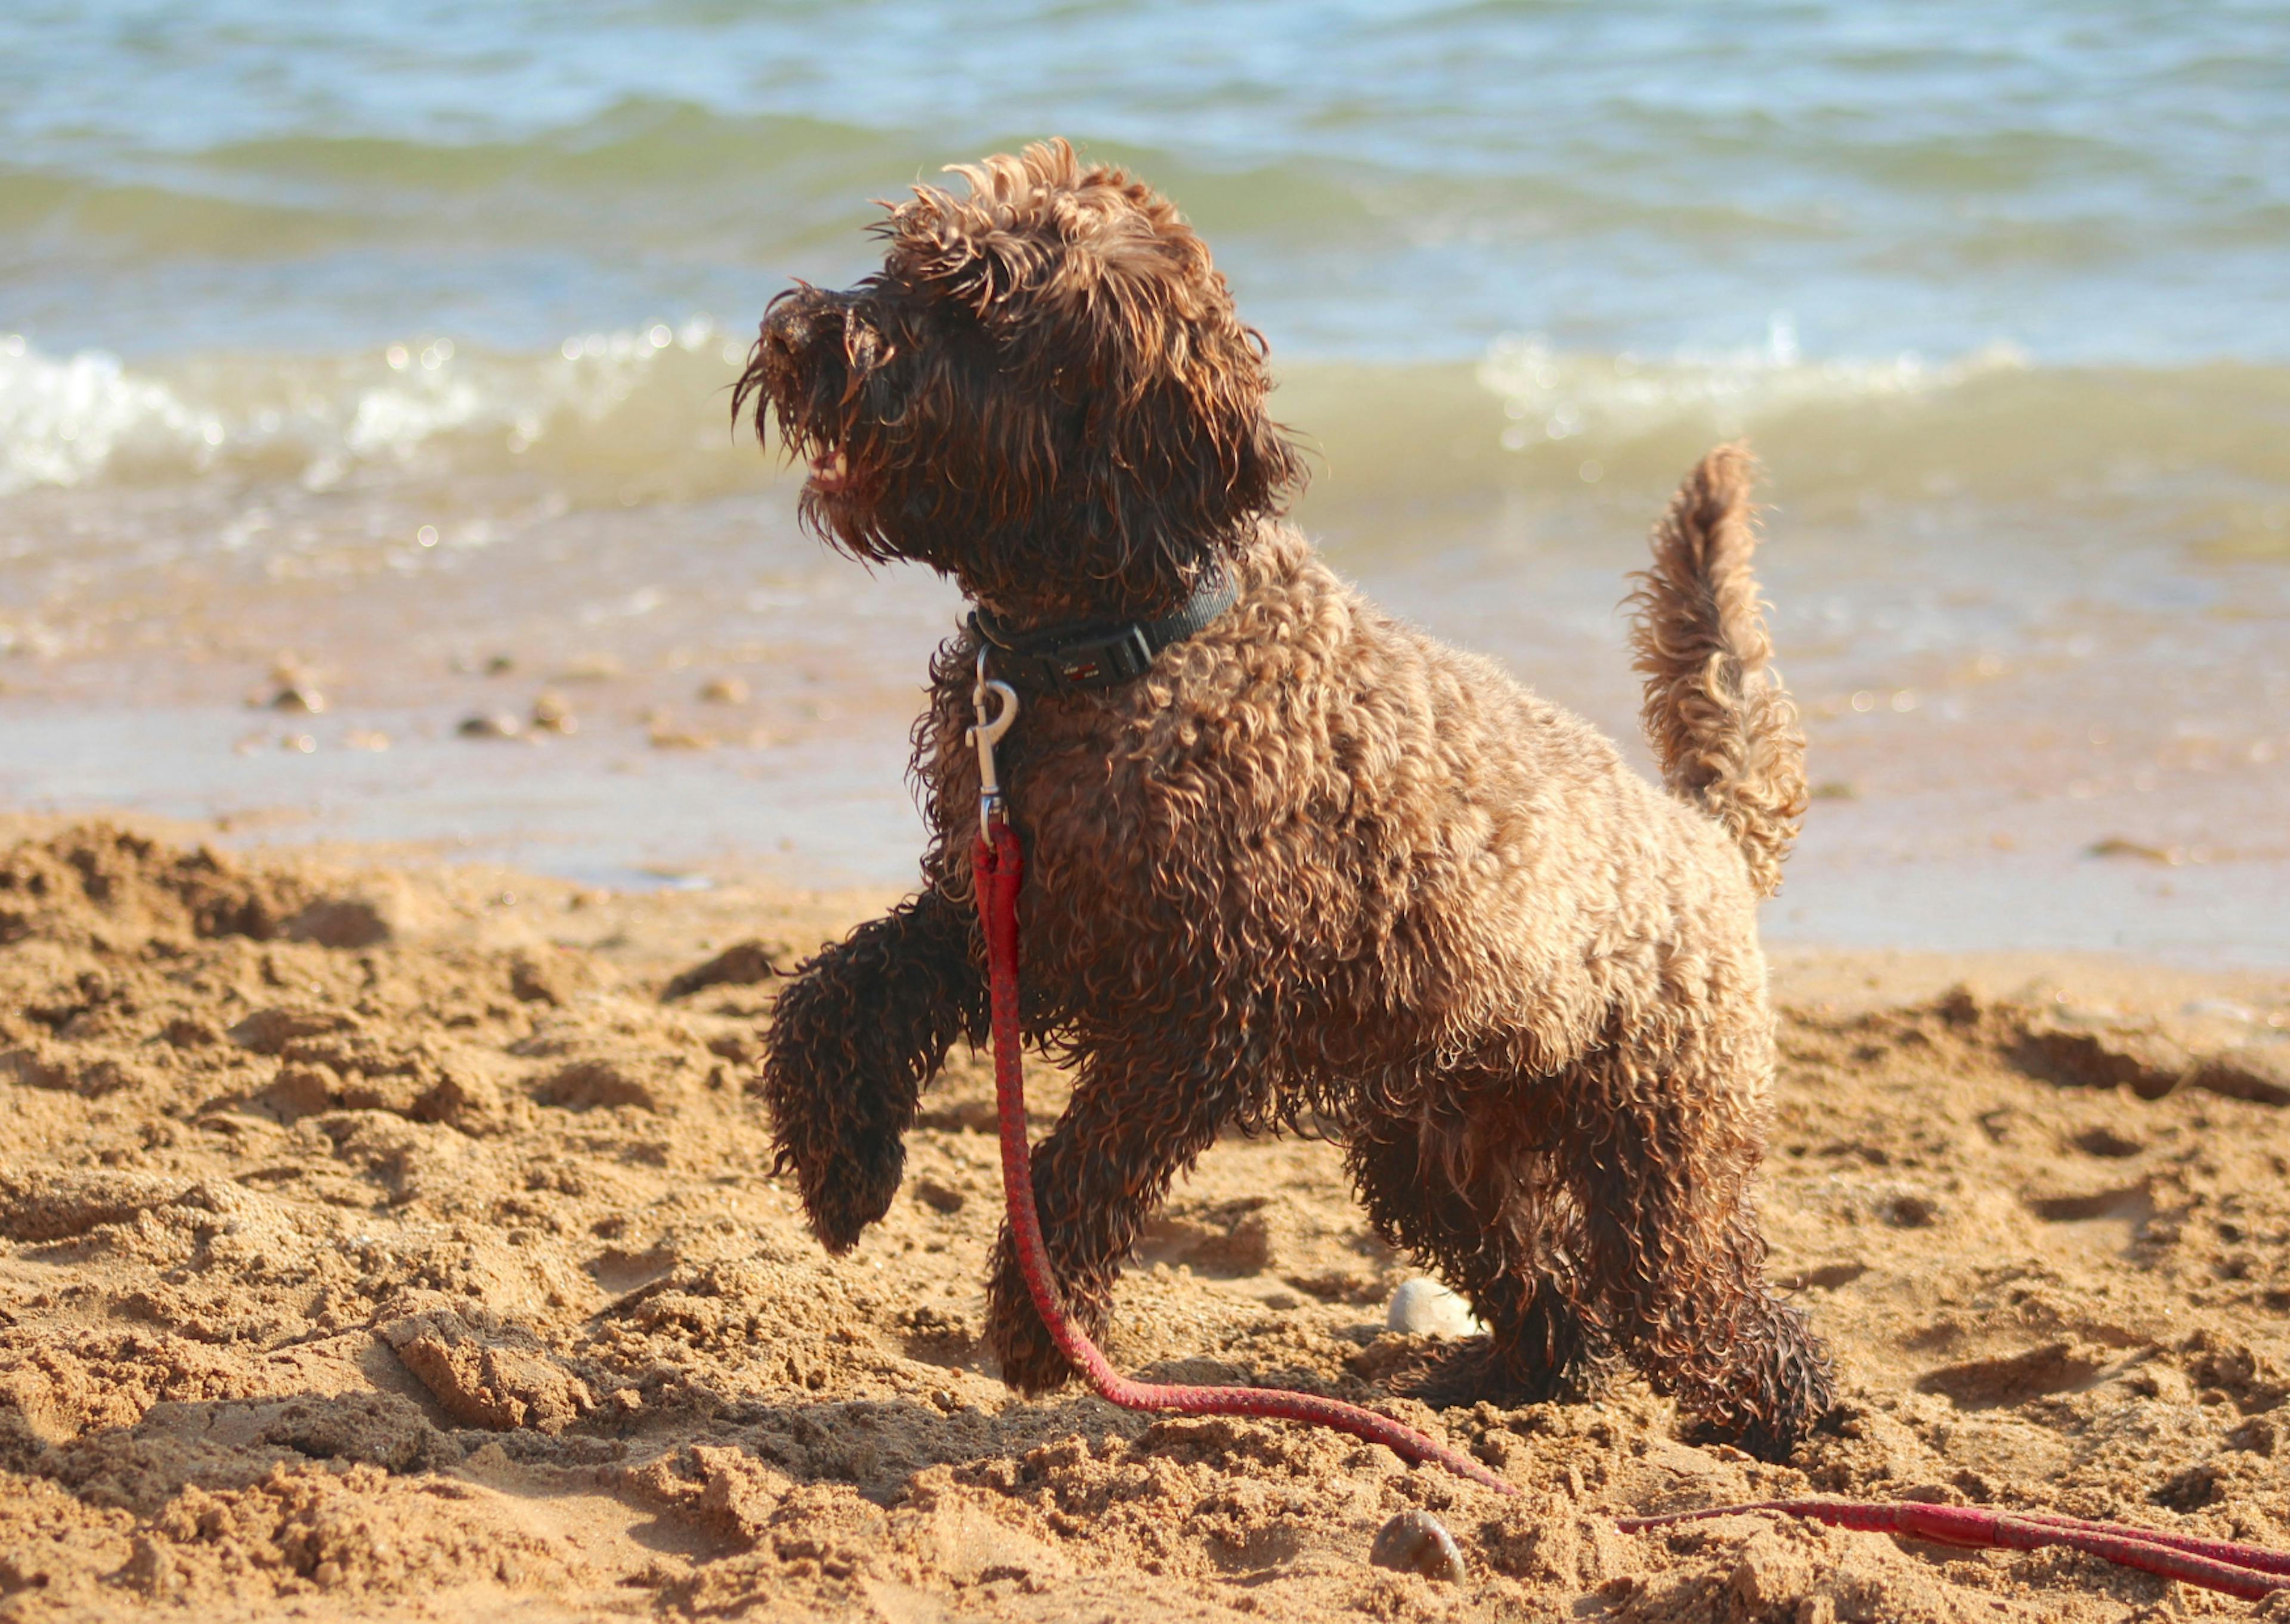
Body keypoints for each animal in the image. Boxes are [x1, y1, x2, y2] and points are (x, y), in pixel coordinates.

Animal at [742, 139, 1832, 1456]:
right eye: (902, 263)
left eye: (973, 302)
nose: (795, 331)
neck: (1114, 646)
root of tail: (1706, 835)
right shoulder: (1004, 911)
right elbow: (838, 990)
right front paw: (841, 1163)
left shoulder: (1204, 1007)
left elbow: (1083, 1165)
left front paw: (1037, 1324)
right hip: (1439, 1141)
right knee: (1544, 1279)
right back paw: (1507, 1378)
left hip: (1657, 1149)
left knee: (1713, 1309)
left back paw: (1788, 1418)